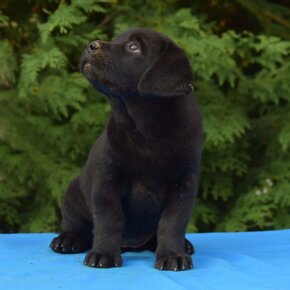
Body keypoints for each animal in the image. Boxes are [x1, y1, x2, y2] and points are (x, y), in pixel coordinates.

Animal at [49, 28, 203, 270]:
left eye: (133, 47)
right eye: (116, 39)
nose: (91, 45)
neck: (145, 129)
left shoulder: (183, 185)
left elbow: (172, 222)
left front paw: (172, 255)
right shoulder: (107, 180)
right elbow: (109, 219)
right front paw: (103, 253)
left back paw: (182, 246)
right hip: (73, 193)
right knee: (76, 225)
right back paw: (68, 240)